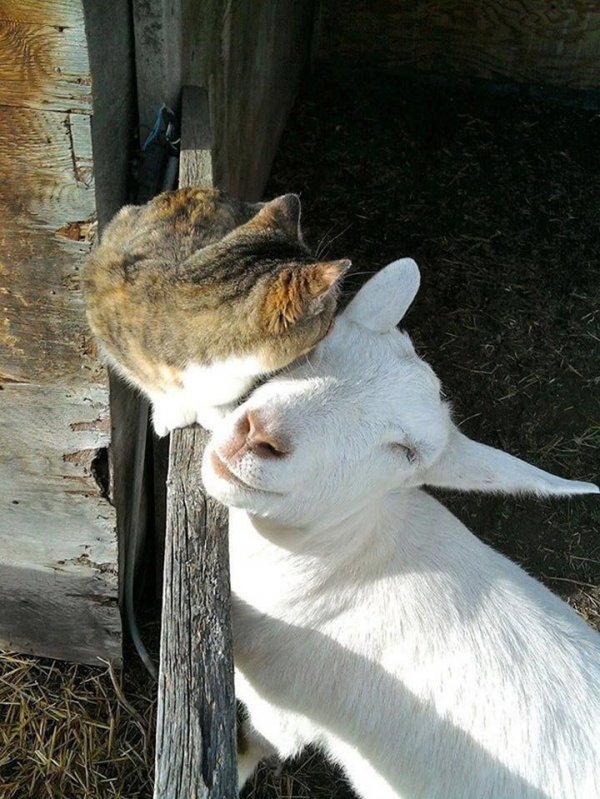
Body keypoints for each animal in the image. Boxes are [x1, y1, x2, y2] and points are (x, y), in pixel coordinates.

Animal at [83, 187, 346, 434]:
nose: (336, 320)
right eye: (331, 311)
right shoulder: (104, 305)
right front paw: (173, 410)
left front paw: (216, 413)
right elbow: (151, 384)